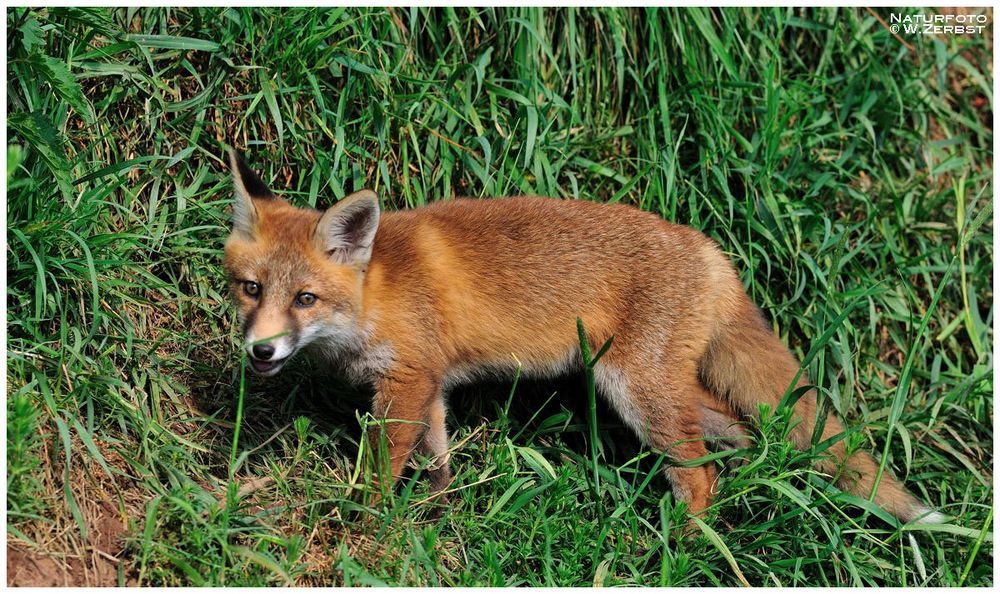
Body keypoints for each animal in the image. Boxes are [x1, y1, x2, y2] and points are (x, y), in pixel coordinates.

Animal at [223, 149, 940, 524]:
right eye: (251, 289)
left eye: (305, 299)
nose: (260, 350)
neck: (375, 294)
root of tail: (711, 251)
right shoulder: (429, 383)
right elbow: (439, 458)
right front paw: (436, 515)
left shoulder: (405, 382)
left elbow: (380, 467)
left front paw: (366, 521)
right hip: (668, 394)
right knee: (744, 436)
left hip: (636, 391)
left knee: (698, 477)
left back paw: (680, 553)